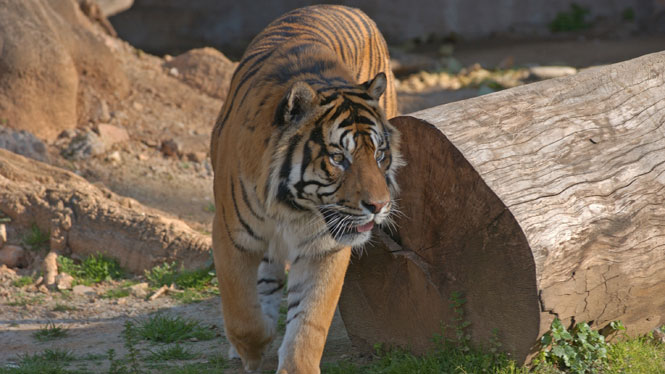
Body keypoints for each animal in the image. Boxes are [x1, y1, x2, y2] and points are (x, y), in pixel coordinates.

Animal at [210, 4, 402, 372]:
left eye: (380, 154)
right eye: (339, 158)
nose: (379, 206)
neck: (291, 206)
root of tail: (346, 7)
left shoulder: (324, 248)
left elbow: (309, 322)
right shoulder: (230, 238)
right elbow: (241, 314)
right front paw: (253, 349)